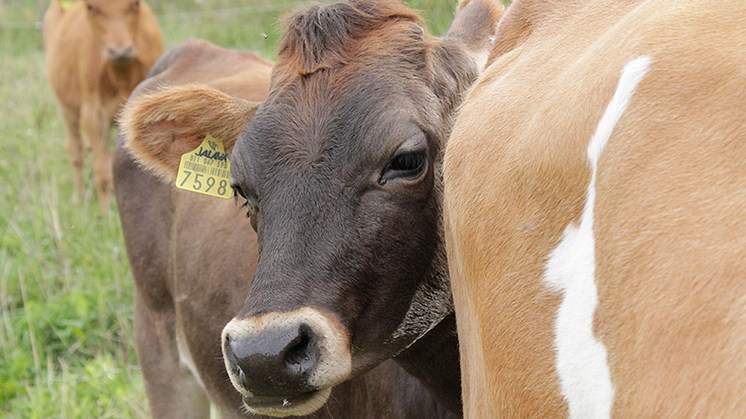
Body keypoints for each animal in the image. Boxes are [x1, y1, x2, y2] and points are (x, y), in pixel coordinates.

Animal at [44, 0, 163, 210]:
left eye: (136, 4)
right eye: (90, 7)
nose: (120, 51)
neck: (122, 76)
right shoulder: (93, 114)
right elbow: (103, 171)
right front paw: (105, 212)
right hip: (66, 111)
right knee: (76, 151)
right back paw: (79, 198)